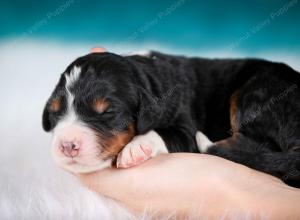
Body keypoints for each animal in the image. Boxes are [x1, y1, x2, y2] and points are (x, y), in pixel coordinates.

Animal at [42, 50, 300, 187]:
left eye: (107, 112)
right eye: (55, 112)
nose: (67, 145)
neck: (148, 77)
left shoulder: (185, 128)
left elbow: (163, 133)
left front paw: (136, 149)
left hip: (259, 91)